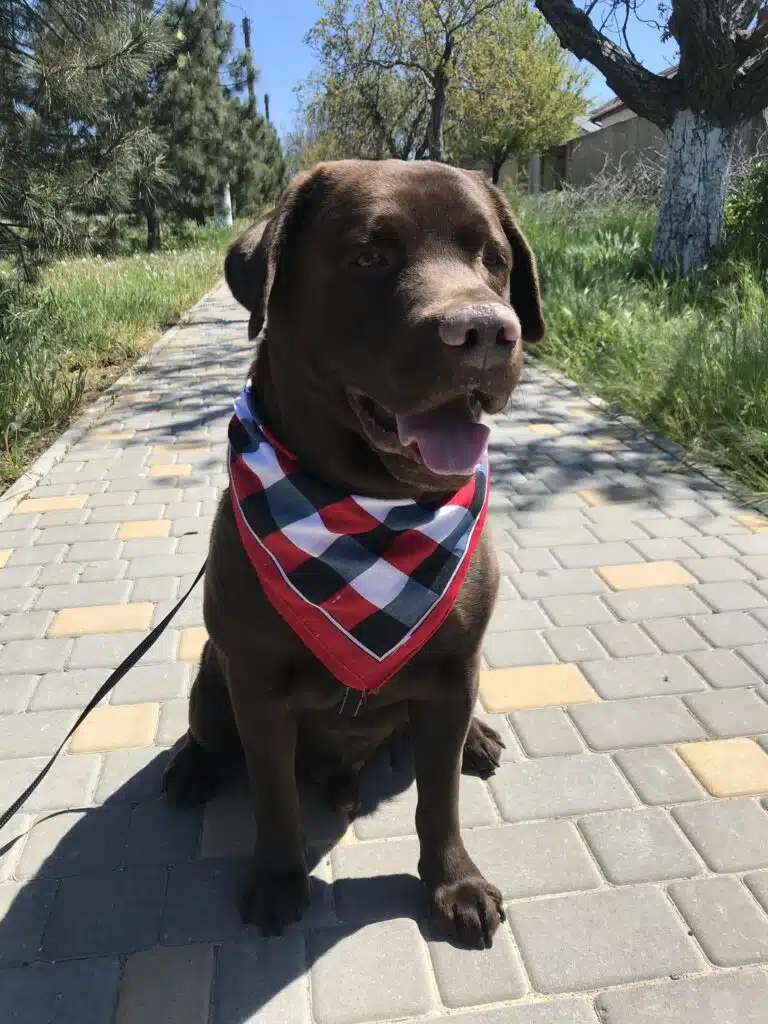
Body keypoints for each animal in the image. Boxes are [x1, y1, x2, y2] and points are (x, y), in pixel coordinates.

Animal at [163, 159, 544, 950]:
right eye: (369, 256)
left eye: (493, 260)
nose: (485, 331)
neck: (371, 511)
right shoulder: (257, 685)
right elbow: (274, 794)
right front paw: (279, 879)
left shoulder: (452, 670)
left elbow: (439, 798)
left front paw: (454, 882)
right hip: (214, 675)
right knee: (208, 732)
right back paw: (190, 768)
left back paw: (477, 739)